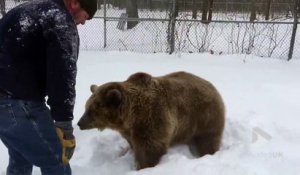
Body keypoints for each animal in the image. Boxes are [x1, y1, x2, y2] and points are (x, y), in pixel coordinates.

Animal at [77, 71, 225, 170]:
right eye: (86, 107)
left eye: (92, 110)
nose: (79, 123)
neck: (130, 117)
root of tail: (212, 86)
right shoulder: (129, 130)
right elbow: (133, 143)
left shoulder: (152, 119)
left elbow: (149, 149)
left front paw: (144, 167)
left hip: (203, 116)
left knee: (208, 139)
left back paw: (208, 153)